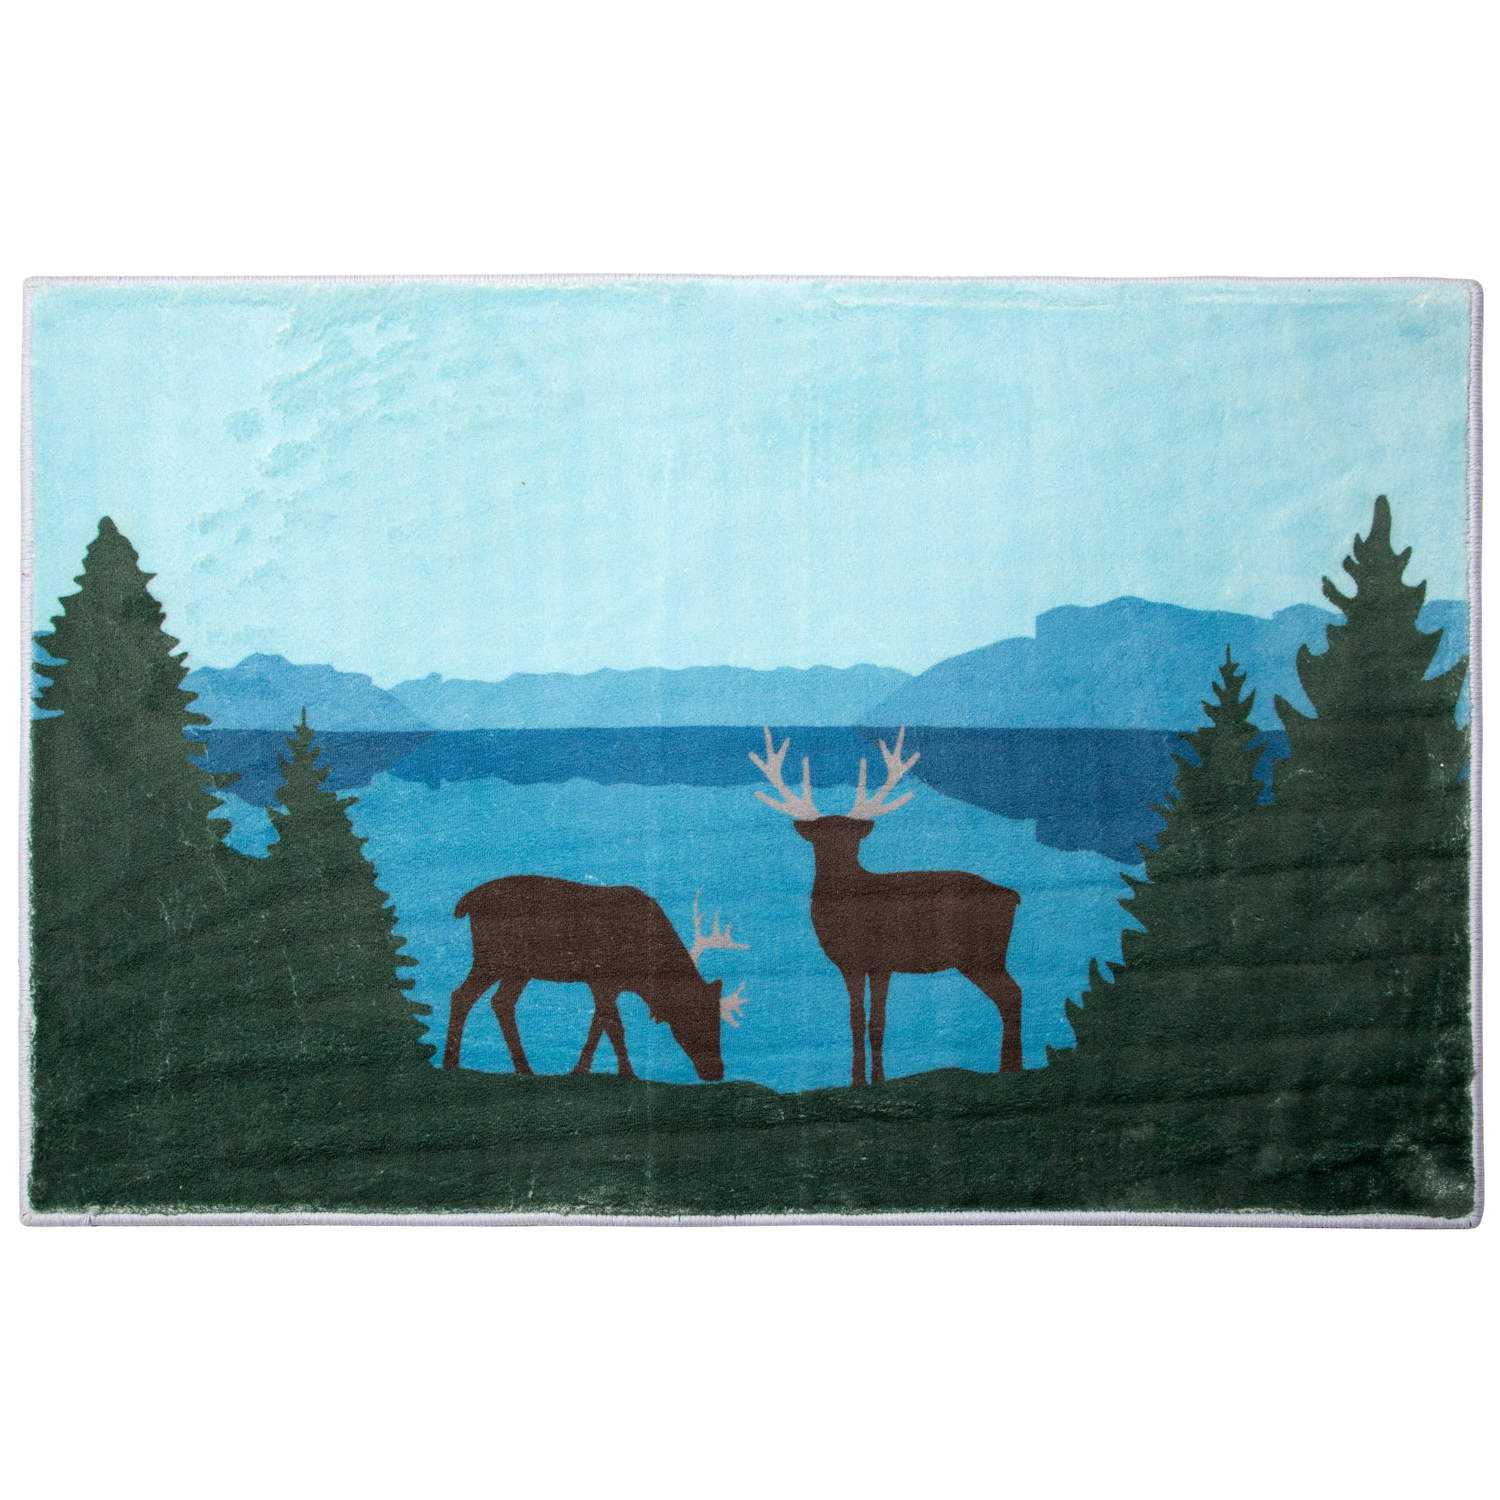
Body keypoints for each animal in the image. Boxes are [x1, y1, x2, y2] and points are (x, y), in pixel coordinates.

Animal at [445, 878, 748, 1082]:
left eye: (718, 1021)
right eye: (696, 1018)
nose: (716, 1071)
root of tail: (465, 904)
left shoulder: (607, 985)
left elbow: (599, 1024)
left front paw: (581, 1070)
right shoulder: (601, 978)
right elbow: (613, 1025)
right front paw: (627, 1073)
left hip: (518, 969)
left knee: (501, 1002)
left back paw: (524, 1069)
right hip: (493, 958)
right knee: (461, 995)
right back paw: (451, 1063)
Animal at [750, 726, 1023, 1086]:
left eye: (852, 839)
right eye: (820, 838)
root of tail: (1013, 896)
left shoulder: (881, 960)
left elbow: (876, 1021)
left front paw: (872, 1080)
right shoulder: (853, 964)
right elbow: (857, 1019)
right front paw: (862, 1081)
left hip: (983, 955)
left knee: (1011, 996)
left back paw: (1010, 1070)